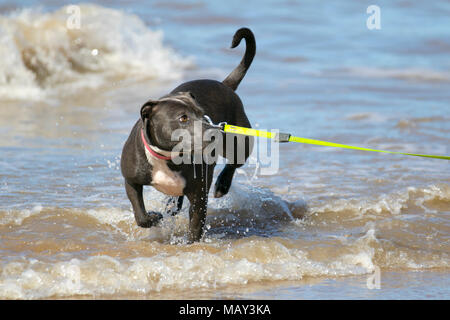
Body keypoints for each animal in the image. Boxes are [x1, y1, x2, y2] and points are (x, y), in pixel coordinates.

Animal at [119, 28, 255, 242]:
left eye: (202, 114)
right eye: (183, 118)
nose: (214, 131)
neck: (168, 157)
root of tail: (225, 85)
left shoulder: (199, 196)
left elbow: (195, 227)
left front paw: (192, 244)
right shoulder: (131, 180)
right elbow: (140, 216)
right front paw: (154, 216)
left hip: (241, 142)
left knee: (234, 163)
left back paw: (222, 185)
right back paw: (172, 204)